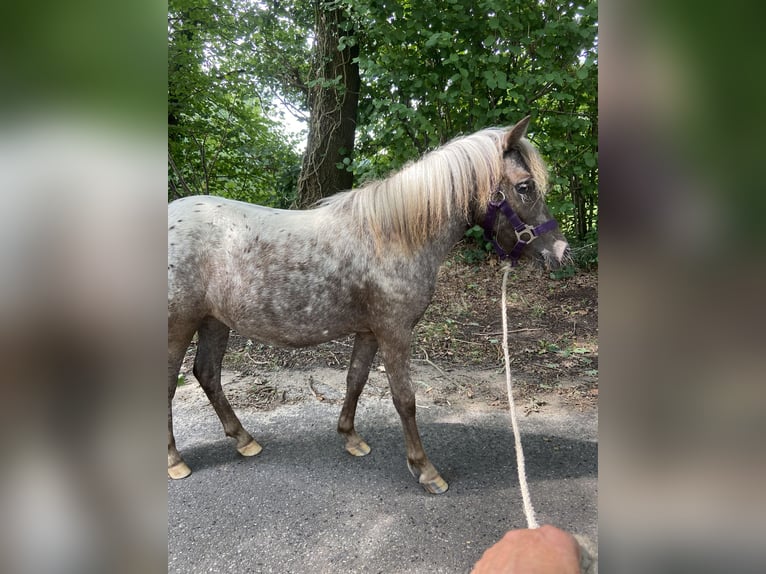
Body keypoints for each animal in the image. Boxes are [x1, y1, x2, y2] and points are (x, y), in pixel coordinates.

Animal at [168, 118, 568, 496]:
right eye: (525, 186)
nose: (560, 252)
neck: (392, 237)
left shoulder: (370, 331)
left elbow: (355, 380)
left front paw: (350, 437)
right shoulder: (394, 332)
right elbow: (404, 399)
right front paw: (425, 470)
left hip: (214, 321)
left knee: (207, 374)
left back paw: (244, 440)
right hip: (178, 328)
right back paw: (176, 461)